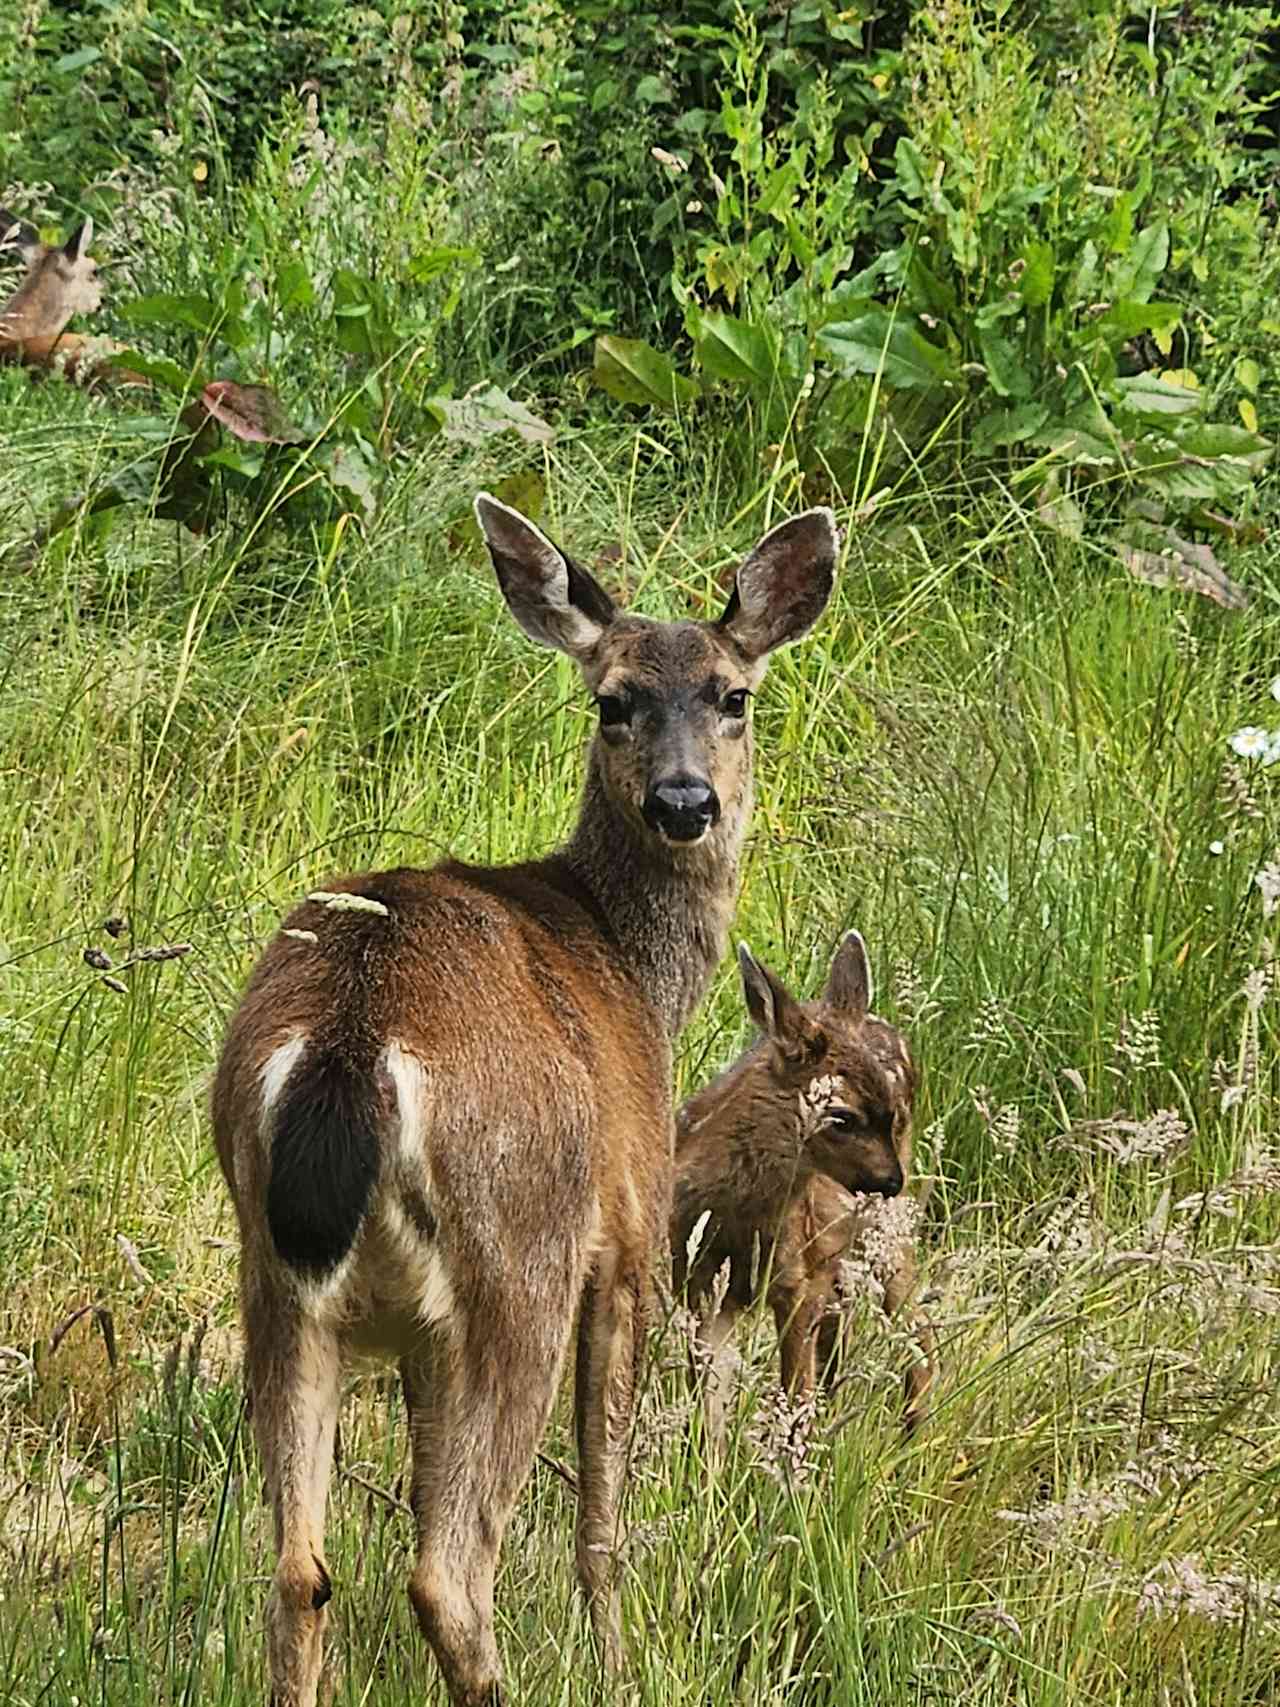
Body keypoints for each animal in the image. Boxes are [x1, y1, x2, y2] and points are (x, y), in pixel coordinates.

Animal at [213, 488, 843, 1700]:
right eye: (614, 701)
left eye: (732, 696)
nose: (685, 800)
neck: (632, 970)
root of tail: (350, 1044)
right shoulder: (634, 1232)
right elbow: (603, 1513)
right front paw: (619, 1660)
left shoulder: (418, 1330)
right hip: (521, 1249)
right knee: (450, 1574)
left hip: (273, 1271)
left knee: (299, 1571)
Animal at [675, 935, 935, 1440]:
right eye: (842, 1117)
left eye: (892, 1114)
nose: (890, 1181)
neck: (736, 1218)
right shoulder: (697, 1280)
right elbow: (709, 1403)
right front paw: (708, 1458)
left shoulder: (798, 1281)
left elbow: (795, 1395)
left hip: (884, 1238)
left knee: (917, 1325)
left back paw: (915, 1436)